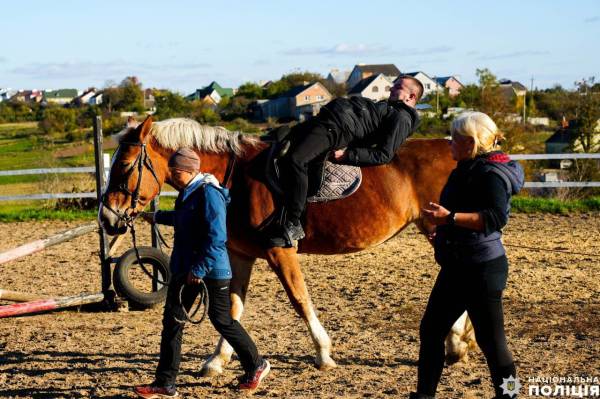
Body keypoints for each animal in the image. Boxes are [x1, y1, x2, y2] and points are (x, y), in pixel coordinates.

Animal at [99, 115, 474, 376]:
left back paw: (457, 341)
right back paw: (459, 341)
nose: (107, 218)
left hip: (439, 229)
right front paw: (217, 360)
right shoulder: (240, 255)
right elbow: (232, 307)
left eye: (123, 165)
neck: (236, 178)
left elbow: (299, 298)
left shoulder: (280, 251)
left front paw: (323, 353)